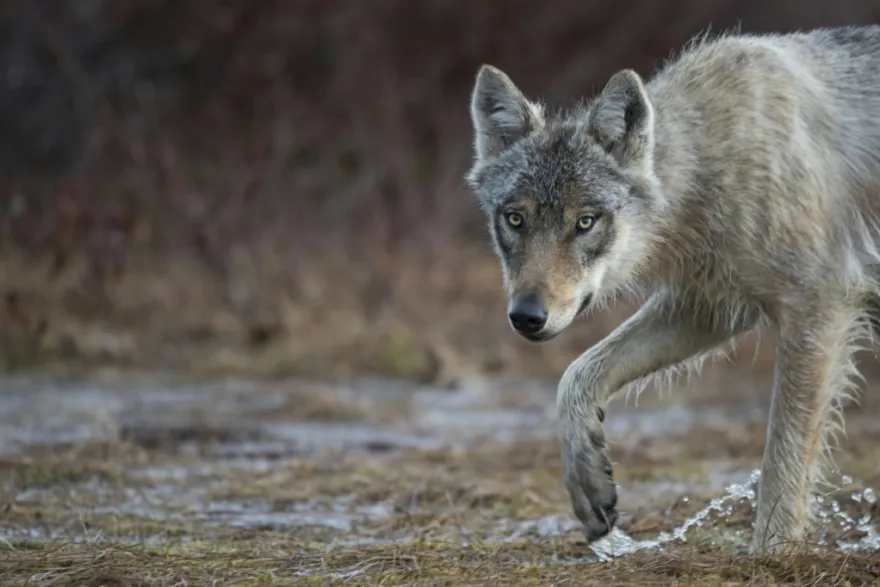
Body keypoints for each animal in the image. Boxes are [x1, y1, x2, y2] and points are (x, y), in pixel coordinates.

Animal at [464, 24, 880, 556]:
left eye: (585, 222)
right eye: (514, 219)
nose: (526, 316)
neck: (713, 164)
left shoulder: (817, 308)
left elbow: (782, 461)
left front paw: (771, 555)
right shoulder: (708, 308)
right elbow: (575, 376)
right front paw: (589, 484)